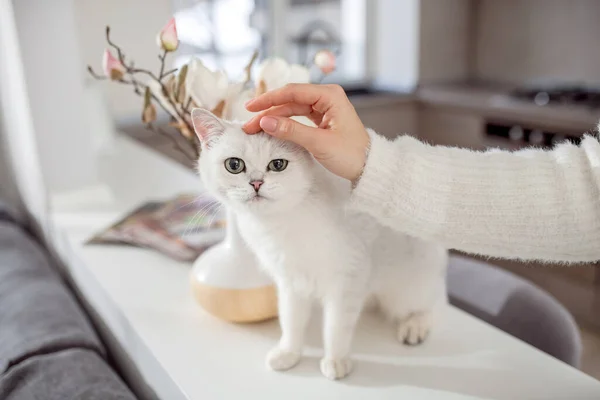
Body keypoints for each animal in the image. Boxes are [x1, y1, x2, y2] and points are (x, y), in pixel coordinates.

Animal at [190, 108, 448, 382]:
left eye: (278, 165)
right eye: (234, 165)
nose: (256, 183)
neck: (283, 222)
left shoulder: (348, 278)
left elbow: (335, 327)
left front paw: (336, 361)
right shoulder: (290, 281)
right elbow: (291, 320)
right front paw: (288, 354)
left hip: (407, 290)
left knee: (432, 304)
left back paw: (414, 326)